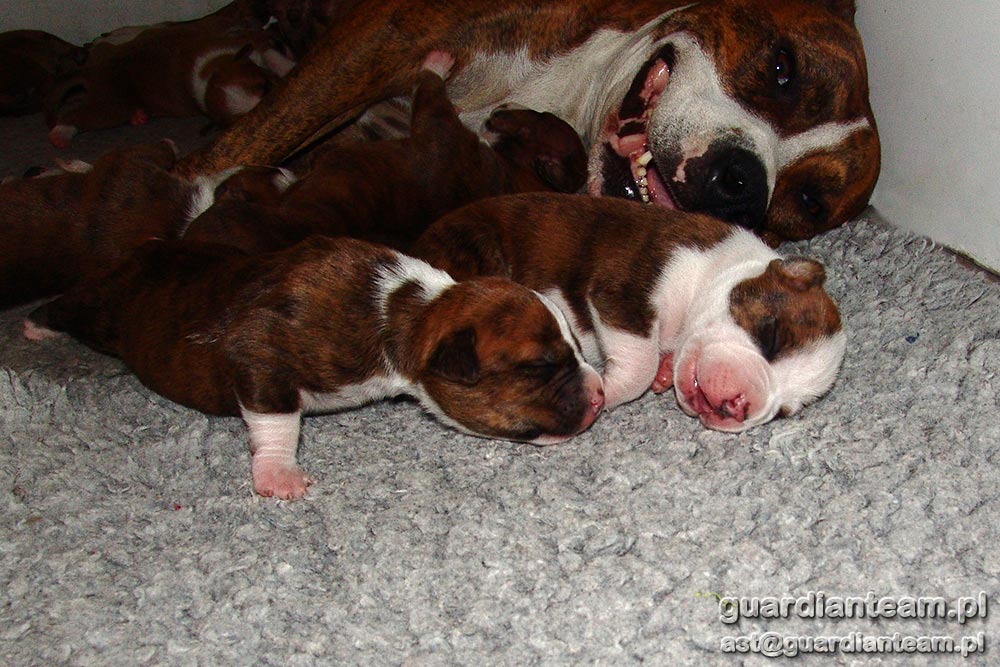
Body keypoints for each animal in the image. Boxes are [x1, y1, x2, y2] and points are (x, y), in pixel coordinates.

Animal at [25, 236, 606, 499]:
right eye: (541, 366)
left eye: (578, 349)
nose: (600, 394)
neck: (405, 311)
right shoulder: (259, 352)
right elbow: (276, 418)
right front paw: (279, 475)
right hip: (105, 312)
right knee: (71, 302)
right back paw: (34, 326)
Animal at [182, 51, 587, 252]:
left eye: (535, 121)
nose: (500, 108)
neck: (513, 174)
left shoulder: (437, 127)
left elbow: (430, 91)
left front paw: (436, 63)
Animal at [413, 193, 846, 431]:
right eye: (771, 337)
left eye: (784, 412)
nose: (740, 407)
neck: (716, 267)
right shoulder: (623, 295)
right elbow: (639, 363)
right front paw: (609, 389)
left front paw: (662, 373)